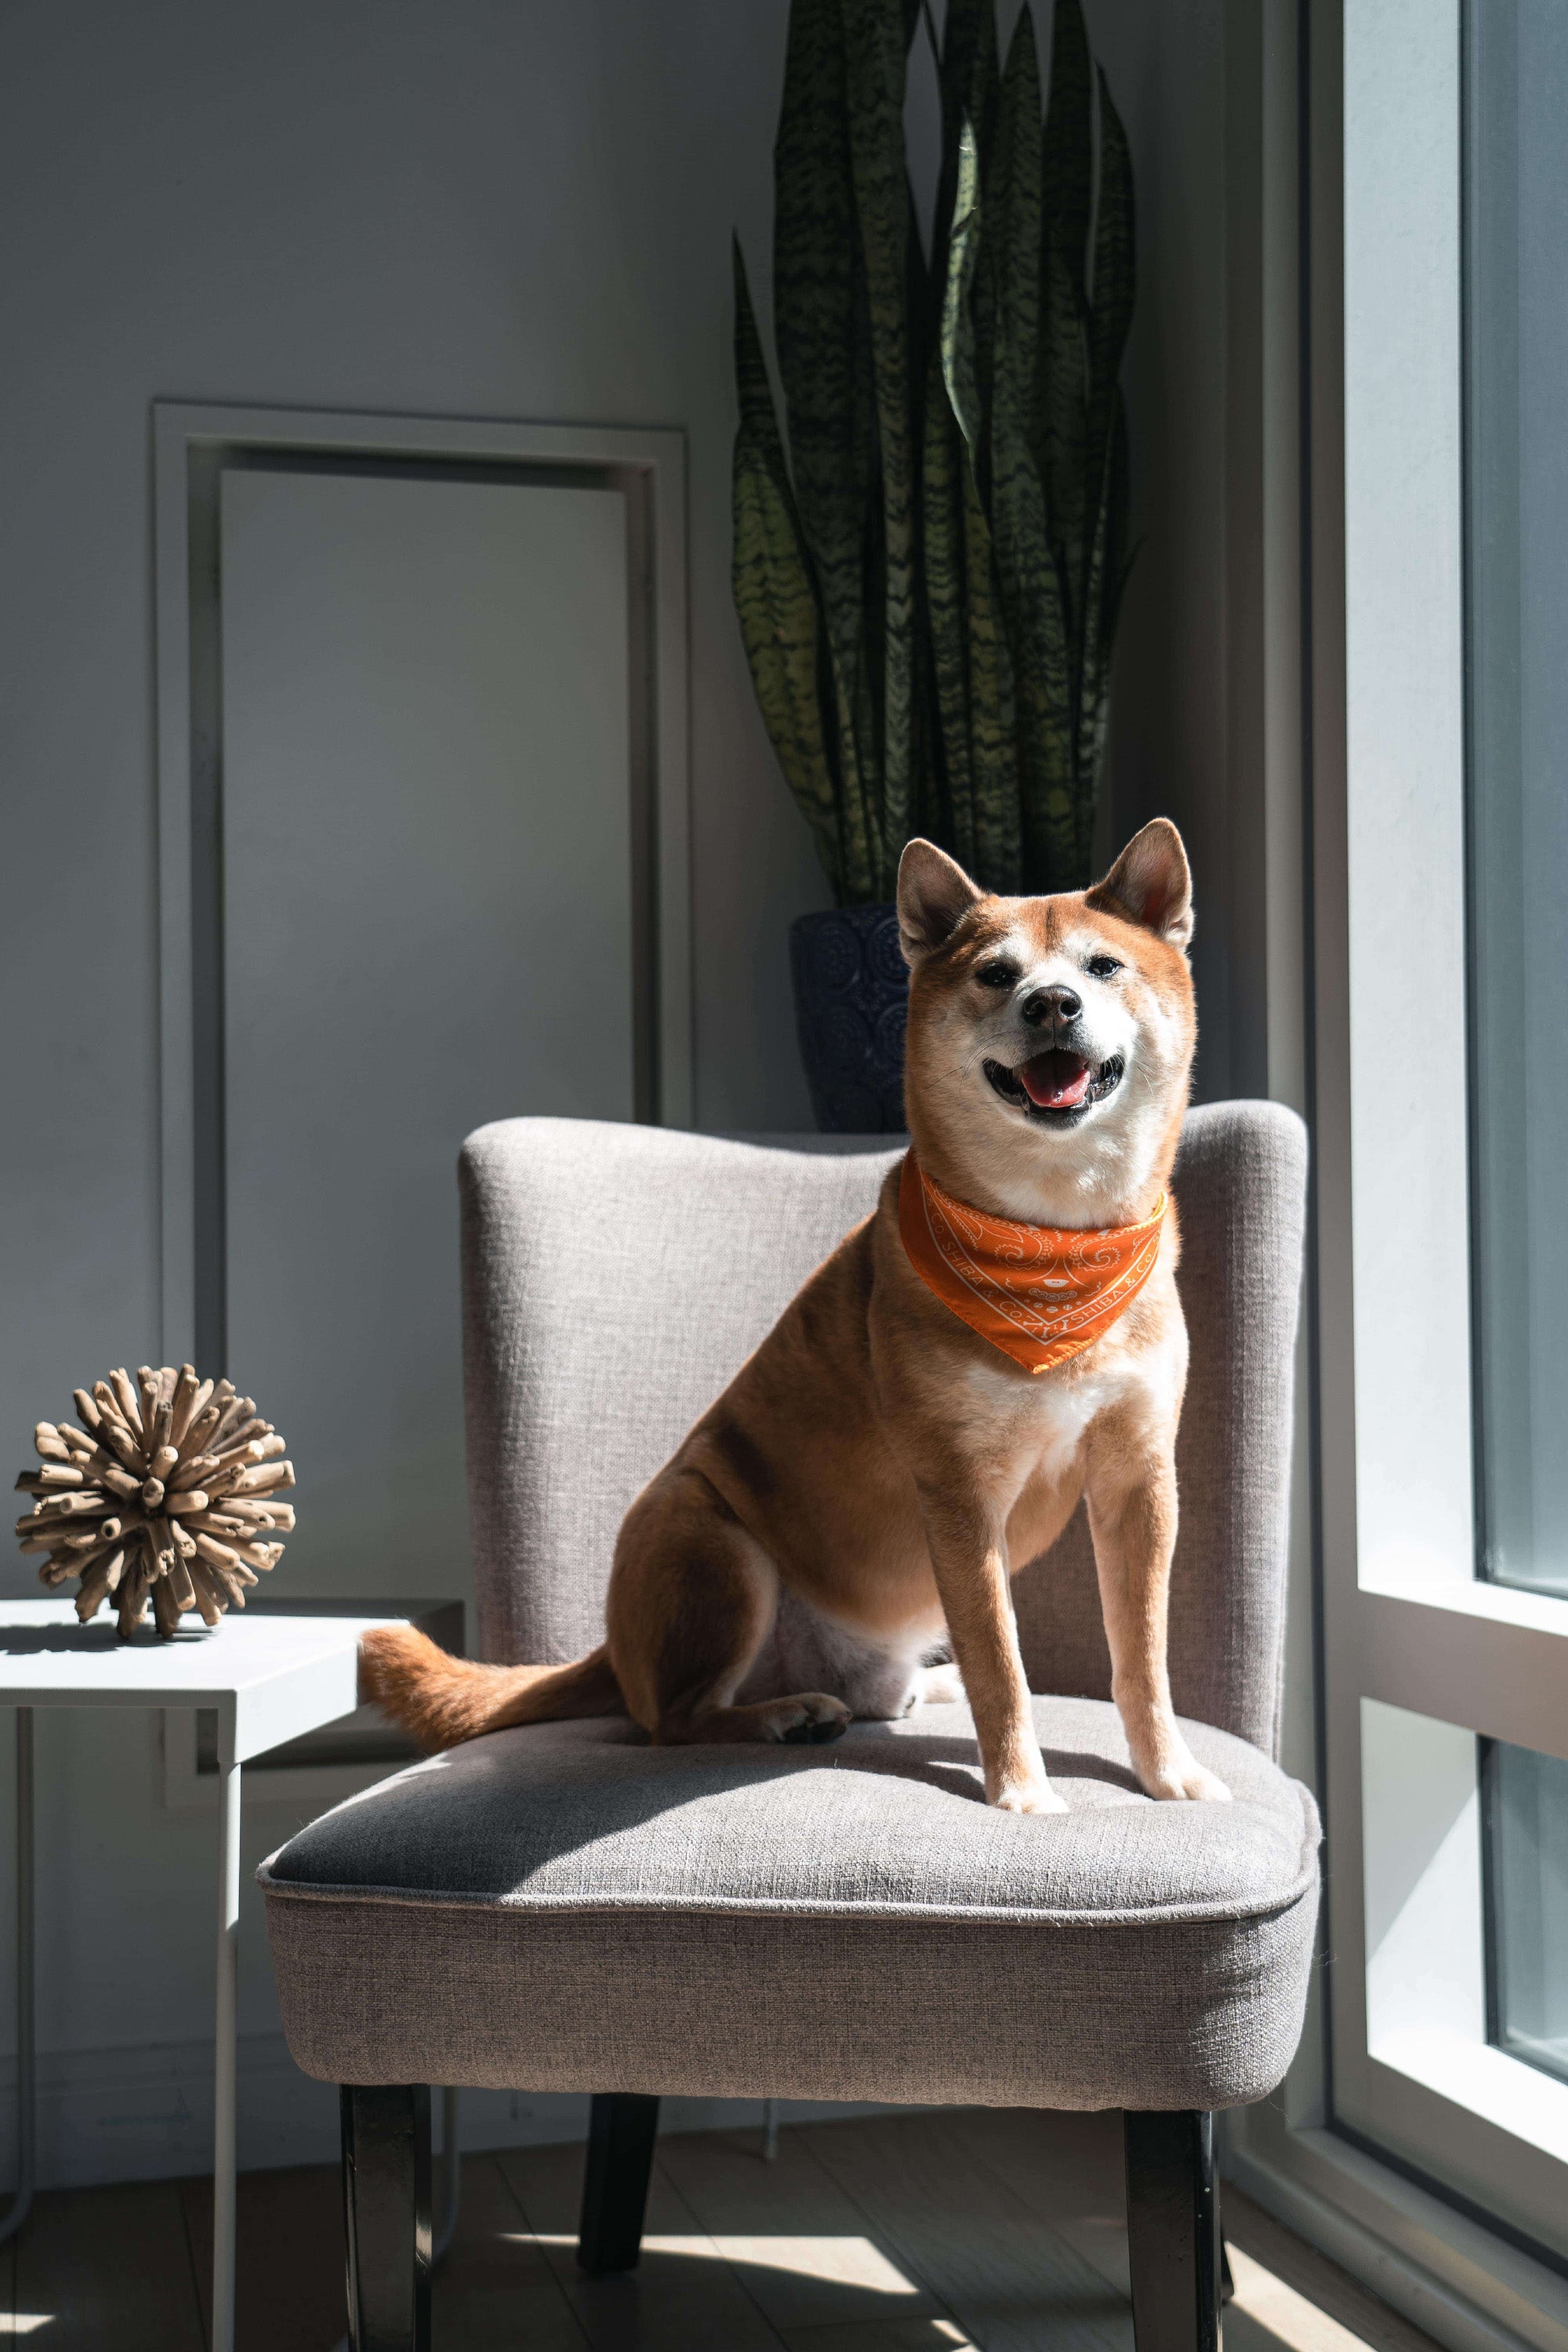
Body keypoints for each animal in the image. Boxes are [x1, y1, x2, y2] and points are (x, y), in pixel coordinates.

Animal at [361, 818, 1232, 1806]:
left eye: (1101, 966)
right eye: (995, 973)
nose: (1051, 1004)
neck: (1048, 1245)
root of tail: (612, 1653)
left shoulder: (1136, 1480)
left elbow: (1141, 1660)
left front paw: (1166, 1771)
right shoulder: (959, 1492)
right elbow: (1001, 1665)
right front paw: (1019, 1789)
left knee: (875, 1693)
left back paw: (901, 1689)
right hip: (706, 1536)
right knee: (673, 1721)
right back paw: (779, 1715)